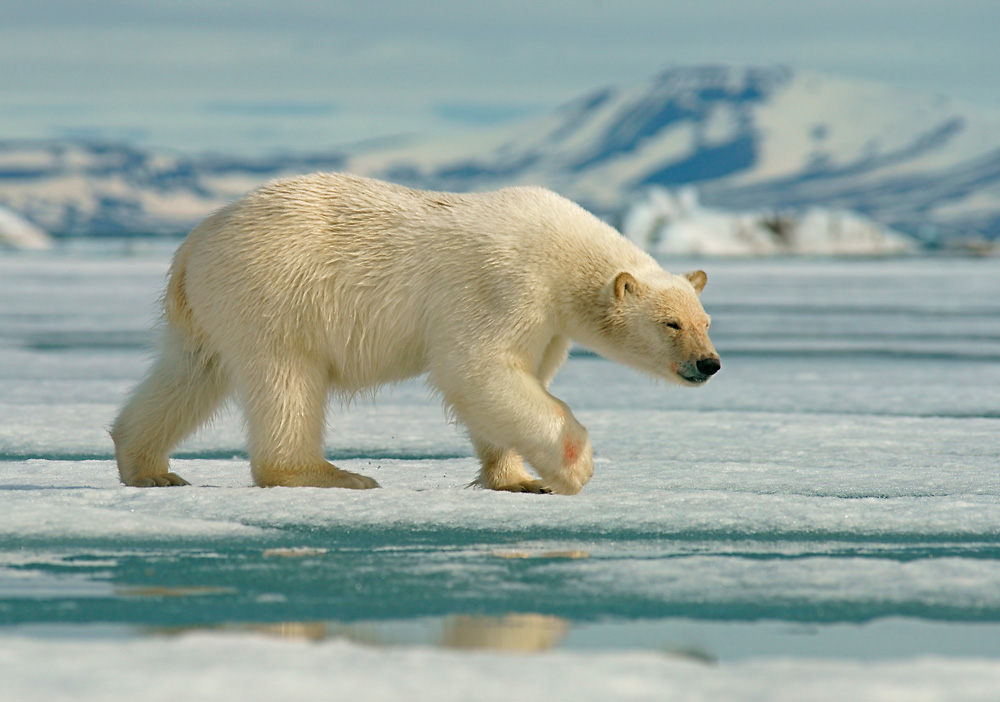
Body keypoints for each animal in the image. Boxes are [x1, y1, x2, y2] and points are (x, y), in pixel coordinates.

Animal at [111, 175, 720, 496]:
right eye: (672, 324)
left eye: (705, 321)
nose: (709, 364)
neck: (560, 252)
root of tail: (191, 246)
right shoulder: (505, 284)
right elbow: (478, 366)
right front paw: (572, 468)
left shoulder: (546, 325)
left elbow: (510, 382)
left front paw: (517, 479)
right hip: (274, 293)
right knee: (286, 379)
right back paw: (330, 474)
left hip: (211, 311)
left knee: (190, 373)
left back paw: (149, 467)